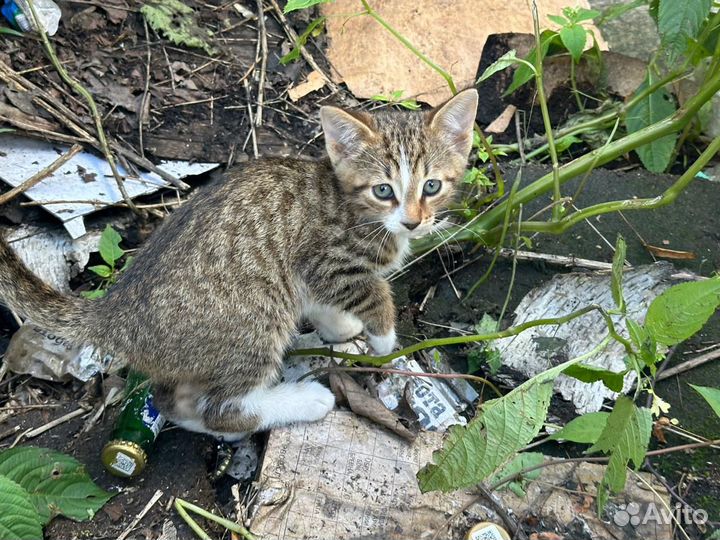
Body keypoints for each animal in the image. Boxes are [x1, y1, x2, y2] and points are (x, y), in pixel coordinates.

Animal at [0, 88, 478, 440]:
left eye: (432, 186)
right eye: (383, 190)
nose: (413, 221)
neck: (350, 203)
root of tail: (115, 310)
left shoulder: (307, 277)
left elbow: (322, 301)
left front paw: (340, 326)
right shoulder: (324, 260)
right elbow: (372, 291)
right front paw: (383, 339)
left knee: (176, 402)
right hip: (254, 320)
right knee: (222, 406)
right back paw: (302, 401)